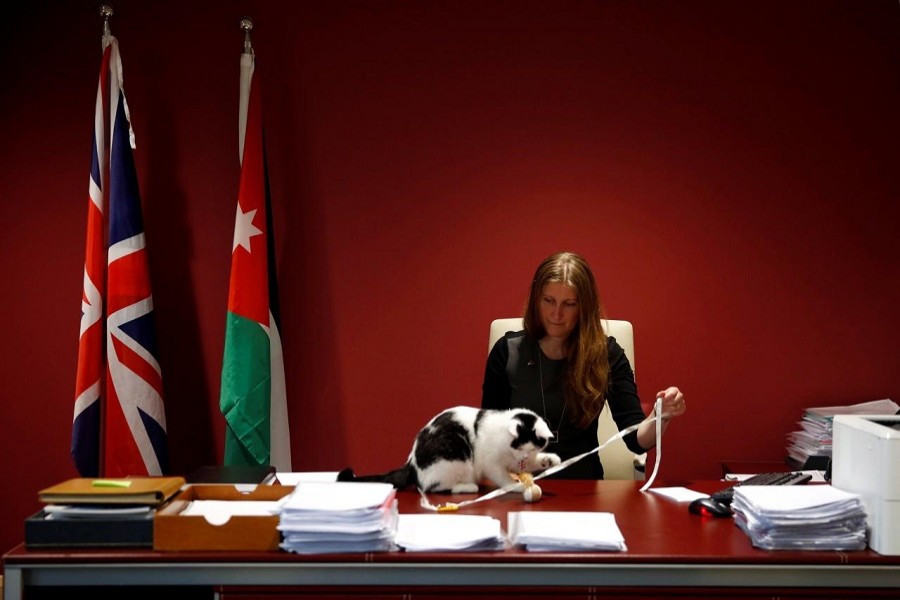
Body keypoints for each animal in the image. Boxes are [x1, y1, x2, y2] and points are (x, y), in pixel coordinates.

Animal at [338, 406, 564, 494]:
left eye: (533, 449)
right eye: (523, 447)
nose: (522, 460)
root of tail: (411, 463)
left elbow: (535, 462)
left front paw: (550, 460)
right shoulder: (492, 465)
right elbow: (502, 478)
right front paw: (515, 485)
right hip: (456, 458)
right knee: (434, 487)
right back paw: (468, 487)